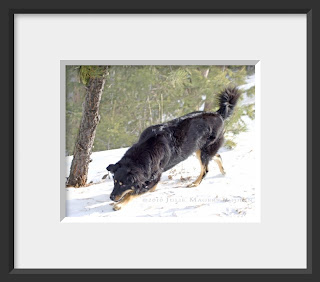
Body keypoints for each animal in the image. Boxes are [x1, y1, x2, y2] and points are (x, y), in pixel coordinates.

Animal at [107, 87, 240, 209]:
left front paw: (120, 204)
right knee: (216, 156)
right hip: (199, 149)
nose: (111, 197)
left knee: (205, 169)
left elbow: (133, 193)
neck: (146, 151)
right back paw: (223, 171)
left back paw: (195, 183)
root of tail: (218, 114)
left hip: (204, 150)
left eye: (123, 184)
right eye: (114, 182)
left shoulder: (153, 177)